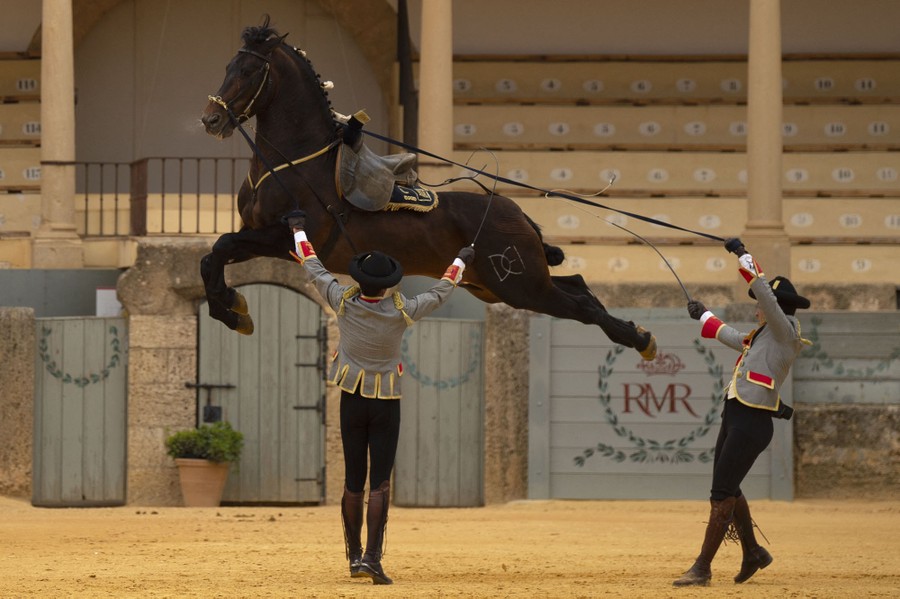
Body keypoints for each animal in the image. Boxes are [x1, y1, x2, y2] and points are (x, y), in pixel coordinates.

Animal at [200, 19, 656, 360]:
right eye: (226, 67)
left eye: (248, 71)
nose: (210, 120)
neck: (296, 162)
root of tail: (516, 211)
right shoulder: (260, 236)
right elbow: (212, 257)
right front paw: (233, 309)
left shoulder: (284, 237)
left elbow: (219, 246)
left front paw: (232, 308)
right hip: (502, 286)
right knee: (578, 285)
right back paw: (634, 333)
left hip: (522, 286)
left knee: (581, 305)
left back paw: (639, 338)